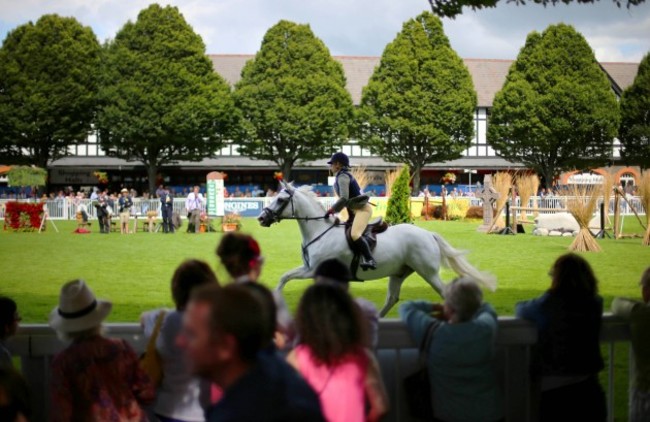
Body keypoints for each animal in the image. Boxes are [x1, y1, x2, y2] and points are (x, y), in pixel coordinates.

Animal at [258, 182, 496, 316]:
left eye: (280, 199)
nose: (261, 218)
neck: (320, 231)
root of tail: (428, 234)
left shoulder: (313, 270)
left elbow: (286, 277)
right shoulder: (311, 269)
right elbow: (284, 277)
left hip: (427, 272)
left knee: (444, 292)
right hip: (399, 273)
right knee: (392, 298)